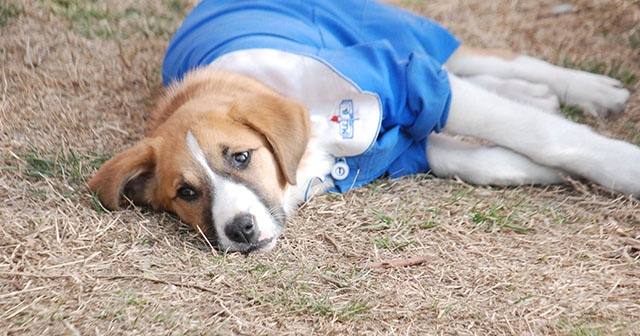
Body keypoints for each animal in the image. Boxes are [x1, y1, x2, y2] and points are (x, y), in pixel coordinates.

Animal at [87, 0, 636, 252]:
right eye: (185, 193)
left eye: (241, 156)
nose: (240, 230)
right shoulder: (399, 148)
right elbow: (472, 157)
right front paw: (532, 171)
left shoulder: (405, 79)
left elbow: (540, 134)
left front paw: (621, 167)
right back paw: (540, 95)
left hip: (399, 33)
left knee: (492, 60)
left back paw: (592, 90)